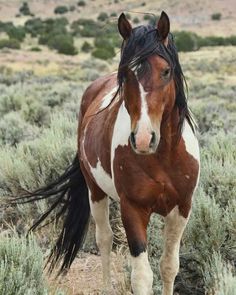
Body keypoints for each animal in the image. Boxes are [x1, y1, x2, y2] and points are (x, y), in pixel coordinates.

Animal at [15, 10, 199, 294]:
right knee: (104, 239)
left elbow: (169, 267)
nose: (143, 139)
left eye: (166, 71)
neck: (162, 158)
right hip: (96, 191)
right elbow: (142, 277)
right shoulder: (132, 209)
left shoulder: (181, 209)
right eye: (125, 75)